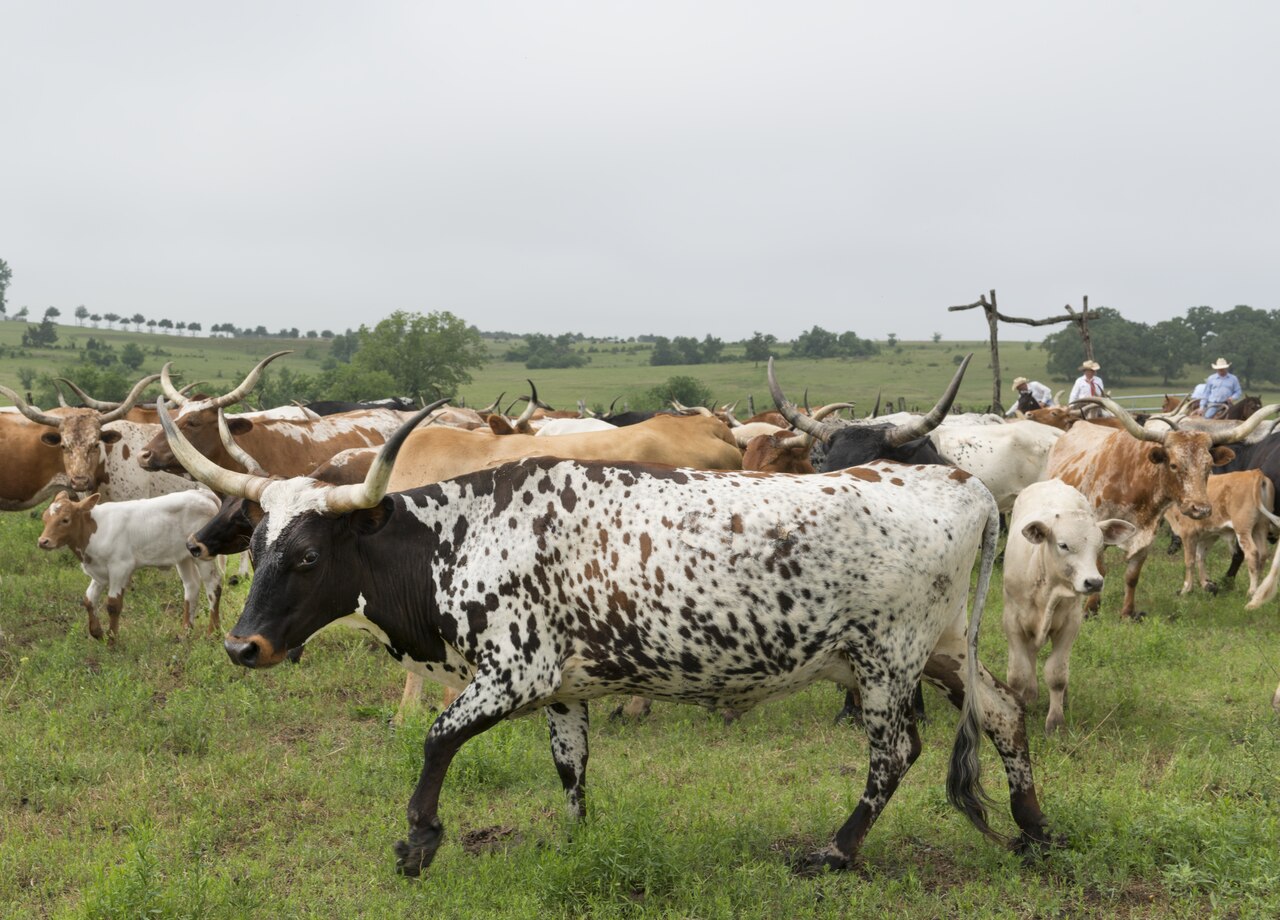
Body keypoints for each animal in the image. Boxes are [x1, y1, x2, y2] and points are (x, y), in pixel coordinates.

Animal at [38, 489, 224, 640]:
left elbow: (113, 604)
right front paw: (97, 633)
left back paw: (212, 633)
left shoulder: (121, 567)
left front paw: (112, 641)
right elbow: (89, 599)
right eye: (44, 518)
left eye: (65, 519)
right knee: (191, 586)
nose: (43, 541)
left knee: (213, 586)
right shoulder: (99, 571)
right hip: (183, 557)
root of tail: (201, 493)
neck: (95, 529)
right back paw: (185, 632)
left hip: (202, 555)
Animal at [158, 398, 1054, 878]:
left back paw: (836, 852)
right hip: (945, 651)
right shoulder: (564, 690)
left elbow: (437, 737)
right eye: (257, 546)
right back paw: (1035, 831)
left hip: (886, 663)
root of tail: (956, 481)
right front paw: (576, 841)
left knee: (893, 754)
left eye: (308, 557)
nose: (242, 648)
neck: (460, 534)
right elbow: (571, 767)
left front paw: (419, 841)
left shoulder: (514, 674)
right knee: (1004, 716)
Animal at [1002, 480, 1136, 734]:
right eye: (1063, 545)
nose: (1094, 582)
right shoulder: (1013, 622)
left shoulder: (1071, 623)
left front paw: (1056, 721)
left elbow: (1057, 674)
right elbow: (1017, 674)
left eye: (1100, 546)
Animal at [1046, 396, 1277, 619]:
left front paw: (1127, 613)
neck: (1134, 481)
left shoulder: (1146, 536)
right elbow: (1099, 570)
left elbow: (1132, 576)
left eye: (1209, 465)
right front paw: (1090, 610)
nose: (1200, 509)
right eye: (1174, 465)